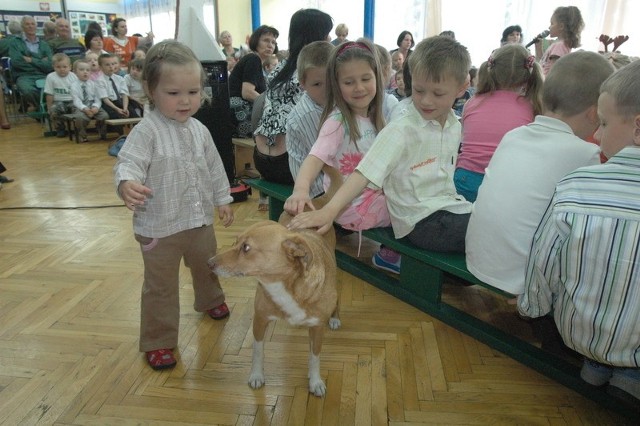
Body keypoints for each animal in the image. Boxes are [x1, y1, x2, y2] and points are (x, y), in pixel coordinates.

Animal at [209, 218, 340, 398]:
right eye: (235, 242)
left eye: (246, 247)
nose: (209, 263)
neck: (283, 286)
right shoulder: (260, 319)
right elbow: (258, 351)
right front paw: (256, 375)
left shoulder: (317, 328)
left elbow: (315, 357)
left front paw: (315, 381)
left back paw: (335, 318)